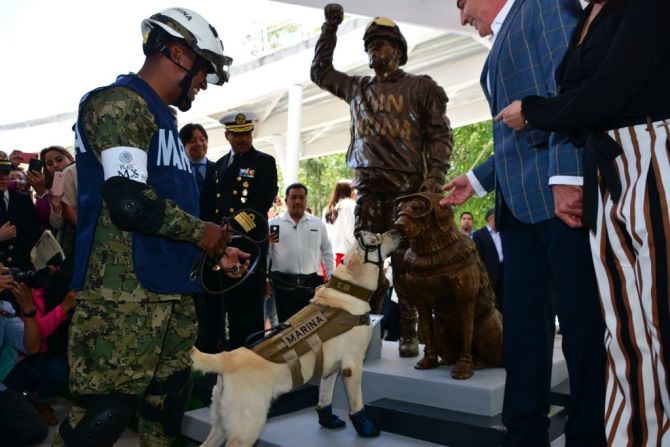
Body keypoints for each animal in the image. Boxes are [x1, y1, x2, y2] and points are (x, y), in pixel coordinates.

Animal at [190, 231, 400, 447]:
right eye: (375, 240)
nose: (396, 231)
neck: (348, 290)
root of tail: (228, 357)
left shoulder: (330, 368)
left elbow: (325, 397)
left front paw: (327, 420)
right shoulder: (353, 365)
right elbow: (357, 403)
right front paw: (365, 428)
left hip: (220, 426)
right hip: (246, 428)